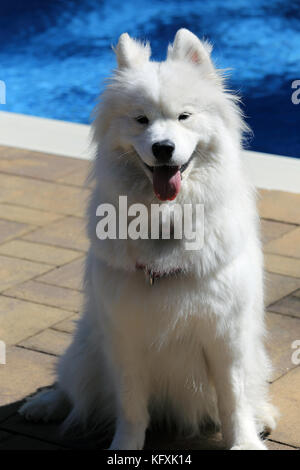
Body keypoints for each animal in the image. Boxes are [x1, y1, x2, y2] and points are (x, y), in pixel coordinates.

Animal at [18, 27, 278, 450]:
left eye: (184, 116)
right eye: (141, 120)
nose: (163, 148)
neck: (164, 220)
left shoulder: (226, 336)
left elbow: (234, 401)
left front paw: (244, 442)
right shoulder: (126, 338)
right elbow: (131, 409)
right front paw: (124, 447)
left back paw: (264, 416)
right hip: (88, 342)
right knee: (72, 384)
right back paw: (43, 404)